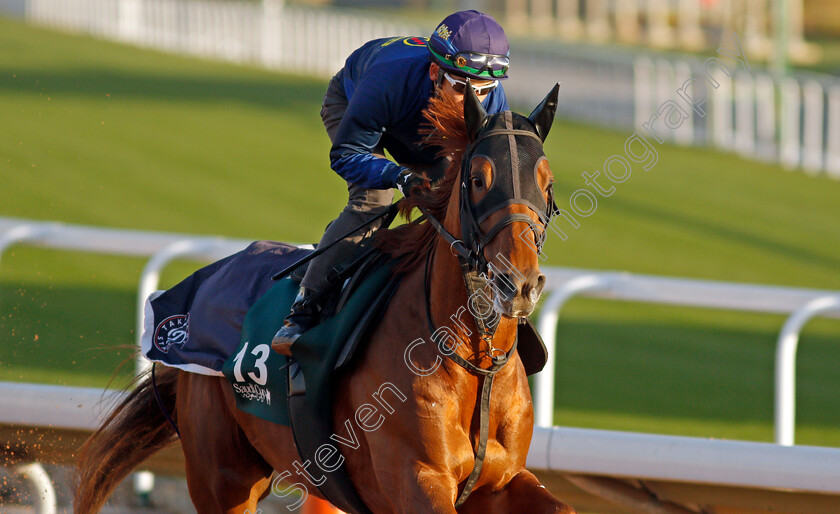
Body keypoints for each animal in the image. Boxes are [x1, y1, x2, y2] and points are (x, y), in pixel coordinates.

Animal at [75, 84, 576, 512]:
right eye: (476, 179)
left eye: (548, 184)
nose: (518, 283)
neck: (476, 358)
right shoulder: (415, 480)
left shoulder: (501, 481)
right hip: (221, 476)